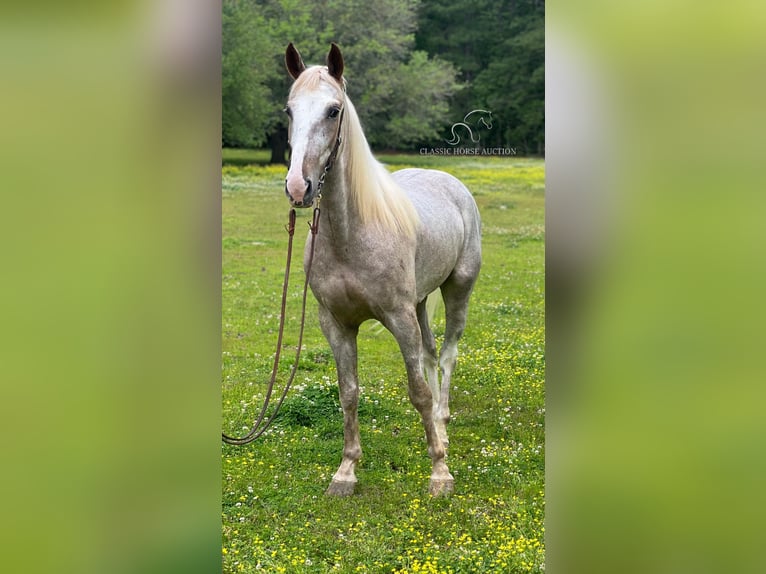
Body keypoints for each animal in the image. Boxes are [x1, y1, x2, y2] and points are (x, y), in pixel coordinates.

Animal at [284, 42, 484, 498]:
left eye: (333, 110)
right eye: (289, 110)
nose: (299, 187)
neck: (350, 235)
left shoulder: (398, 317)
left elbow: (419, 393)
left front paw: (440, 473)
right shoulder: (336, 323)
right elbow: (349, 393)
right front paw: (345, 472)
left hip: (457, 290)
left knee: (447, 357)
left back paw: (442, 430)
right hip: (422, 301)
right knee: (431, 353)